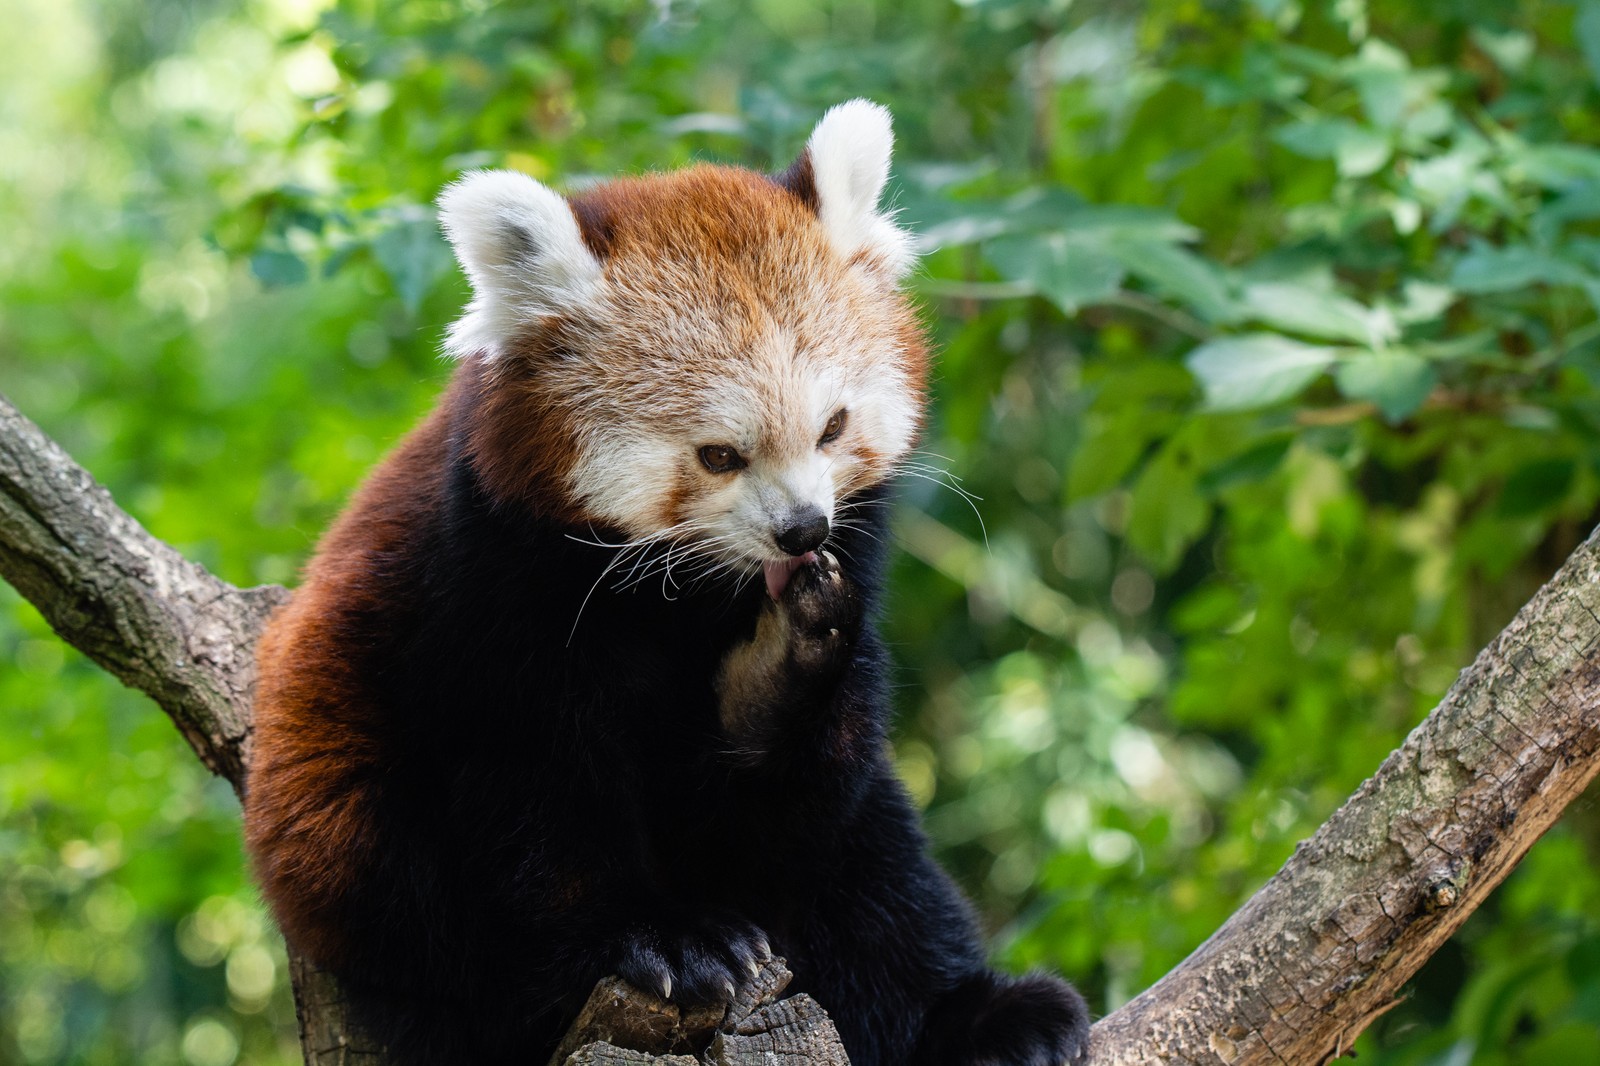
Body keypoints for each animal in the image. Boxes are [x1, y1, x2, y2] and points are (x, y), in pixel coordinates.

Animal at [243, 99, 1088, 1062]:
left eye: (833, 427)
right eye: (719, 455)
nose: (803, 528)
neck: (685, 595)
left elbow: (797, 803)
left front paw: (783, 661)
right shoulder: (487, 586)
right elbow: (536, 800)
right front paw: (662, 937)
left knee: (875, 870)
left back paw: (986, 1019)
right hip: (350, 837)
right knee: (442, 922)